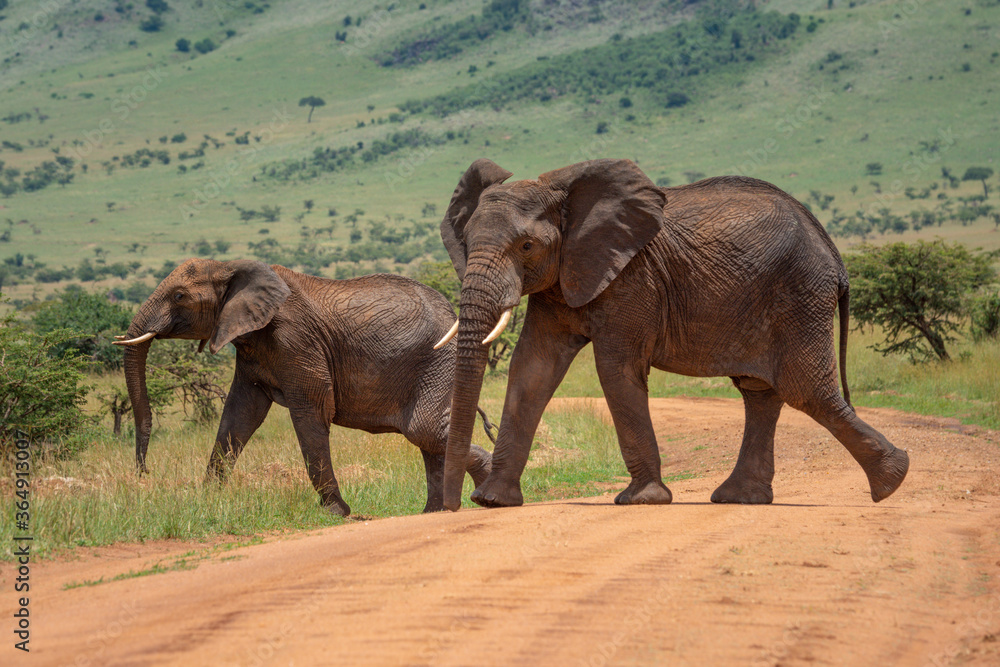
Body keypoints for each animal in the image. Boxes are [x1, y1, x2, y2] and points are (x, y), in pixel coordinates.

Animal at [114, 258, 493, 516]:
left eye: (179, 295)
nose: (144, 472)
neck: (232, 267)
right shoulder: (252, 344)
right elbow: (240, 415)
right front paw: (208, 500)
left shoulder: (295, 339)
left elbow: (311, 411)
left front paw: (337, 512)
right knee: (429, 436)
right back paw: (436, 511)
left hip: (439, 359)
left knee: (424, 430)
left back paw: (484, 495)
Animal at [433, 158, 909, 511]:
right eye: (466, 241)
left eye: (527, 246)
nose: (452, 507)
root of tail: (835, 253)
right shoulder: (561, 278)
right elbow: (532, 369)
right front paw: (493, 502)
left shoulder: (633, 277)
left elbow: (615, 367)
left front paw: (640, 500)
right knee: (761, 392)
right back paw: (741, 498)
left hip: (801, 294)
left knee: (806, 390)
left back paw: (892, 481)